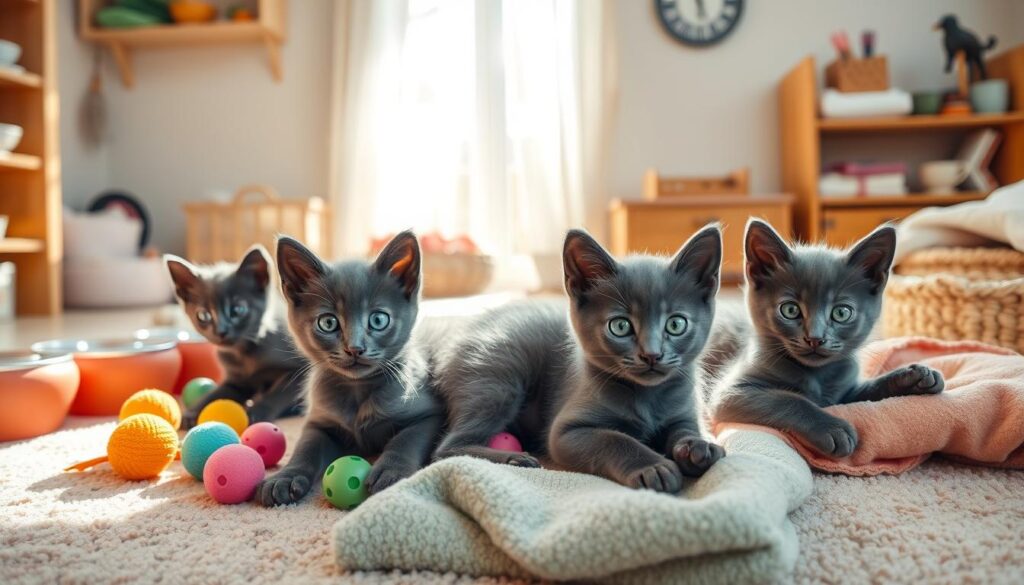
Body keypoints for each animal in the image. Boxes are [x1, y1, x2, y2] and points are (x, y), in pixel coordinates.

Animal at [161, 244, 307, 428]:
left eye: (238, 310)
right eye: (203, 315)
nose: (221, 331)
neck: (243, 354)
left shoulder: (299, 371)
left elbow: (278, 393)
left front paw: (257, 411)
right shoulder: (236, 381)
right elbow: (218, 392)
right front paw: (194, 411)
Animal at [253, 231, 442, 506]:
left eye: (378, 319)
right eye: (328, 322)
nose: (355, 348)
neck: (357, 390)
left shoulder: (429, 414)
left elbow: (406, 440)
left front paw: (390, 470)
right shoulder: (319, 421)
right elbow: (305, 448)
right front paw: (285, 477)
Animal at [712, 219, 942, 456]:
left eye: (841, 313)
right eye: (790, 310)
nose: (815, 338)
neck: (817, 376)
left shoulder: (845, 393)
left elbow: (870, 389)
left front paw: (913, 376)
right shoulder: (731, 393)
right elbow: (787, 399)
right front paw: (832, 428)